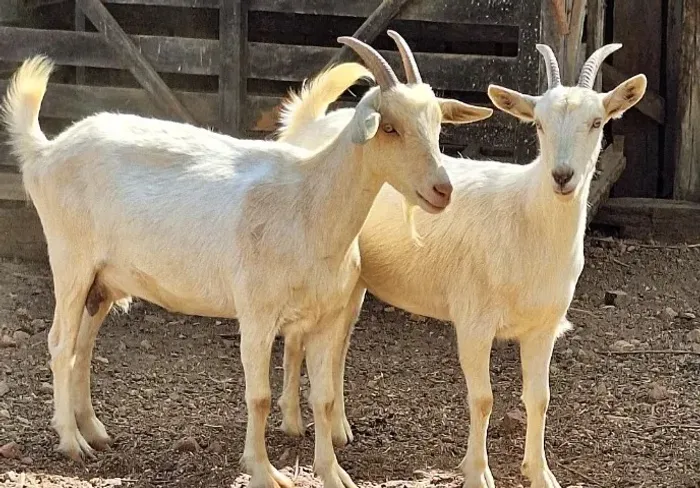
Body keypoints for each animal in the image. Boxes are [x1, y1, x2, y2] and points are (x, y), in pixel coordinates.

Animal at [1, 30, 493, 488]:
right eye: (388, 127)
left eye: (437, 124)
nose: (441, 190)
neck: (309, 205)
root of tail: (45, 153)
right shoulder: (257, 311)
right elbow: (258, 396)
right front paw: (262, 471)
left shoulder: (327, 317)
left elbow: (324, 399)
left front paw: (332, 472)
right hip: (70, 261)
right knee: (60, 343)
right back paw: (71, 442)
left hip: (101, 282)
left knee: (82, 349)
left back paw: (95, 431)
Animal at [276, 43, 647, 488]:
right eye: (538, 124)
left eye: (596, 122)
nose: (562, 176)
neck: (526, 221)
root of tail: (307, 128)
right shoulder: (474, 320)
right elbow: (482, 398)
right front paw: (478, 472)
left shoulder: (544, 327)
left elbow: (539, 399)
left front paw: (540, 472)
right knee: (298, 337)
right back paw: (292, 421)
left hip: (354, 281)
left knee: (338, 347)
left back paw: (339, 429)